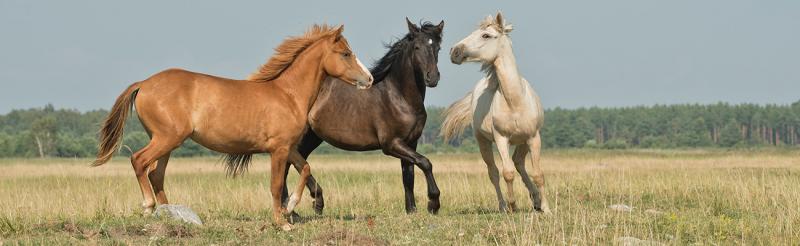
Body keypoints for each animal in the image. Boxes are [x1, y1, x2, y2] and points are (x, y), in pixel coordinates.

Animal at [92, 25, 374, 231]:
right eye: (345, 53)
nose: (369, 79)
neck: (288, 95)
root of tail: (145, 83)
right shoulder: (278, 150)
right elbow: (275, 185)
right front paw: (282, 223)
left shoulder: (289, 147)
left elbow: (305, 168)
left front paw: (290, 208)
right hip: (166, 138)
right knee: (139, 161)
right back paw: (149, 207)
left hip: (167, 142)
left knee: (156, 174)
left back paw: (171, 214)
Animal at [282, 18, 444, 213]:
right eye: (417, 47)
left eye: (438, 47)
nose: (432, 78)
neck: (399, 97)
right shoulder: (391, 144)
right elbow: (425, 162)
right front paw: (433, 203)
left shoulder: (411, 142)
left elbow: (408, 176)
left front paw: (411, 210)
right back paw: (301, 204)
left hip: (312, 137)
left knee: (295, 162)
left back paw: (302, 205)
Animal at [444, 12, 552, 213]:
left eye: (486, 35)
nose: (454, 51)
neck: (515, 102)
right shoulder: (501, 138)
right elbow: (507, 173)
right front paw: (513, 206)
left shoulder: (533, 138)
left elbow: (538, 174)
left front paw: (546, 209)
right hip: (483, 142)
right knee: (494, 172)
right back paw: (503, 206)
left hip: (523, 141)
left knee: (518, 163)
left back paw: (535, 200)